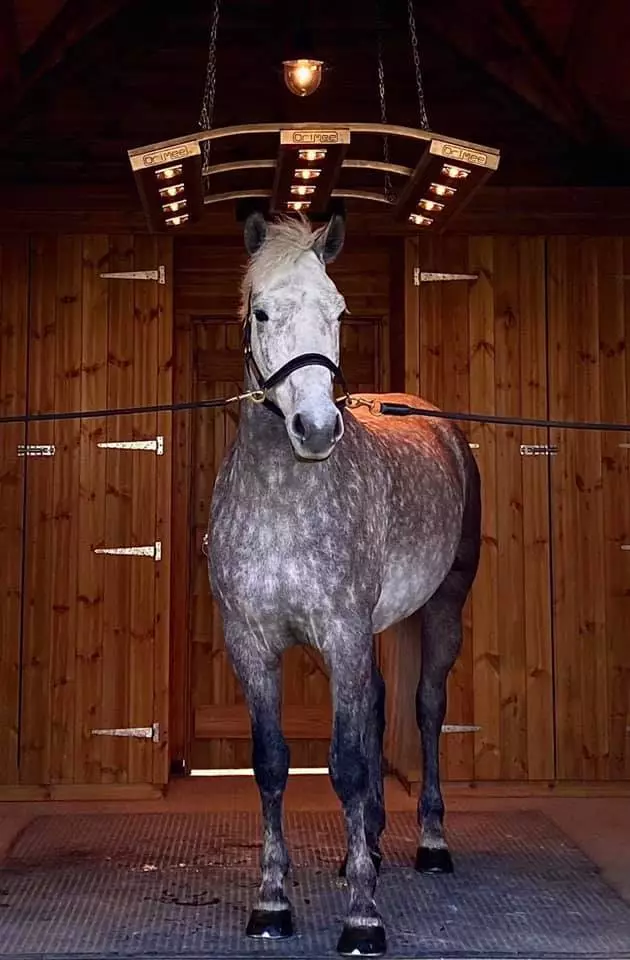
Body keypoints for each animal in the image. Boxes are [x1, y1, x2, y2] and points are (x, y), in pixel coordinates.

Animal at [207, 211, 481, 957]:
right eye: (262, 311)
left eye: (337, 311)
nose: (316, 428)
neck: (283, 498)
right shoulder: (252, 645)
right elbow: (273, 763)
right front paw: (272, 902)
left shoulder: (341, 635)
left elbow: (351, 765)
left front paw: (363, 917)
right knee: (380, 709)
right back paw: (375, 847)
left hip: (440, 611)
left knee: (425, 709)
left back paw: (432, 844)